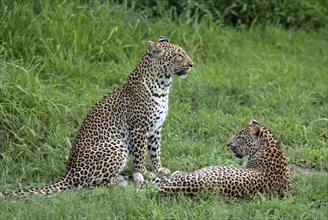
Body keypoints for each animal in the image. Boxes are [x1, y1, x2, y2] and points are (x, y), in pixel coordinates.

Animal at [0, 36, 192, 198]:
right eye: (178, 55)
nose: (192, 64)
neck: (163, 85)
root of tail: (68, 172)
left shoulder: (155, 128)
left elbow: (155, 151)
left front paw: (159, 168)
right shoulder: (139, 128)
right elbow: (141, 153)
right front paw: (143, 172)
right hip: (117, 145)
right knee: (87, 184)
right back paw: (119, 178)